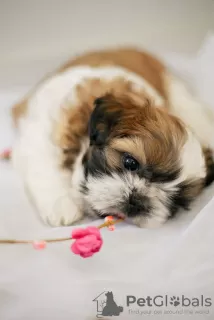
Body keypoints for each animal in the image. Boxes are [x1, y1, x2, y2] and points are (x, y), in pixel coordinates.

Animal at [11, 47, 214, 228]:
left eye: (176, 200)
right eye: (130, 162)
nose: (138, 201)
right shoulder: (43, 127)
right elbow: (43, 160)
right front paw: (62, 205)